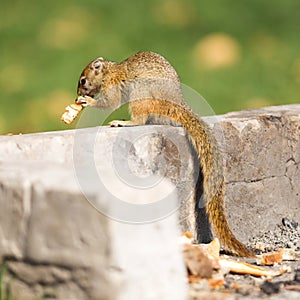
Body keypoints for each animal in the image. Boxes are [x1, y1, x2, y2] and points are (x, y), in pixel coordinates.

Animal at [74, 50, 254, 256]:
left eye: (83, 81)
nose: (78, 94)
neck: (109, 71)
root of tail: (175, 105)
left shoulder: (112, 86)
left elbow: (108, 103)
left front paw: (88, 101)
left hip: (141, 94)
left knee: (141, 119)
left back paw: (124, 122)